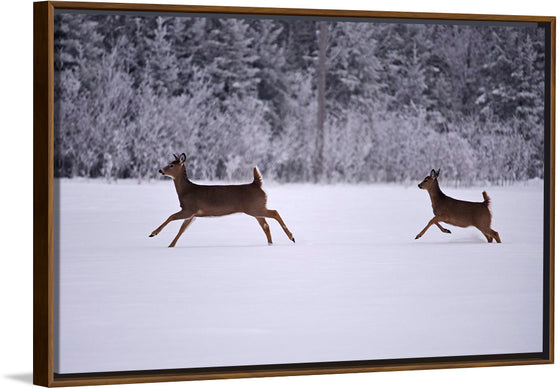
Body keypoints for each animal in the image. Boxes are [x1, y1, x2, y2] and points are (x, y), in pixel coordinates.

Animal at [149, 153, 298, 247]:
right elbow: (181, 230)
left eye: (171, 165)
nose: (160, 170)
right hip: (256, 208)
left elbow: (171, 217)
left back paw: (291, 237)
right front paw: (170, 246)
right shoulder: (193, 214)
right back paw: (270, 244)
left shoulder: (189, 208)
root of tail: (257, 184)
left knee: (275, 212)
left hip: (255, 207)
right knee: (266, 225)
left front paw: (153, 233)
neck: (186, 191)